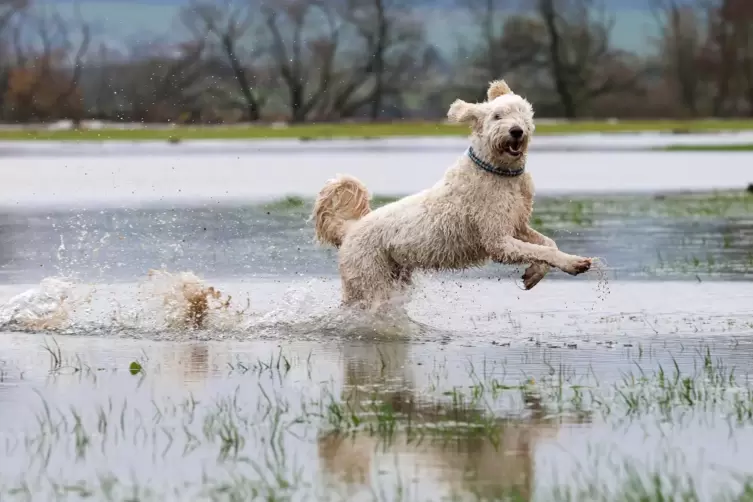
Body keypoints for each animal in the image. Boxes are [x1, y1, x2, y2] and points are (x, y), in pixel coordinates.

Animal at [308, 79, 592, 310]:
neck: (498, 172)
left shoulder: (516, 225)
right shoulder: (498, 240)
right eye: (497, 116)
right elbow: (543, 250)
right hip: (369, 279)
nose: (516, 131)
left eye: (522, 114)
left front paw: (534, 273)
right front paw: (574, 263)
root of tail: (349, 230)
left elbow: (547, 245)